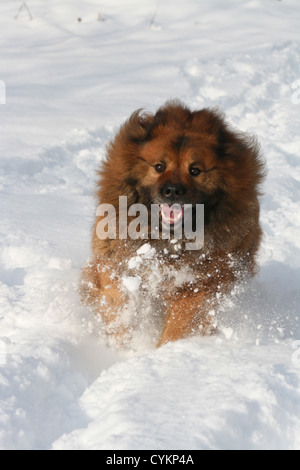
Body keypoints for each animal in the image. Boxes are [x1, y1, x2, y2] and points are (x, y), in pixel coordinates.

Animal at [80, 100, 264, 348]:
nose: (172, 191)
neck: (168, 239)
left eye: (195, 170)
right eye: (159, 166)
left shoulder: (200, 284)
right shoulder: (116, 262)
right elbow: (118, 302)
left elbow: (180, 324)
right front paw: (126, 342)